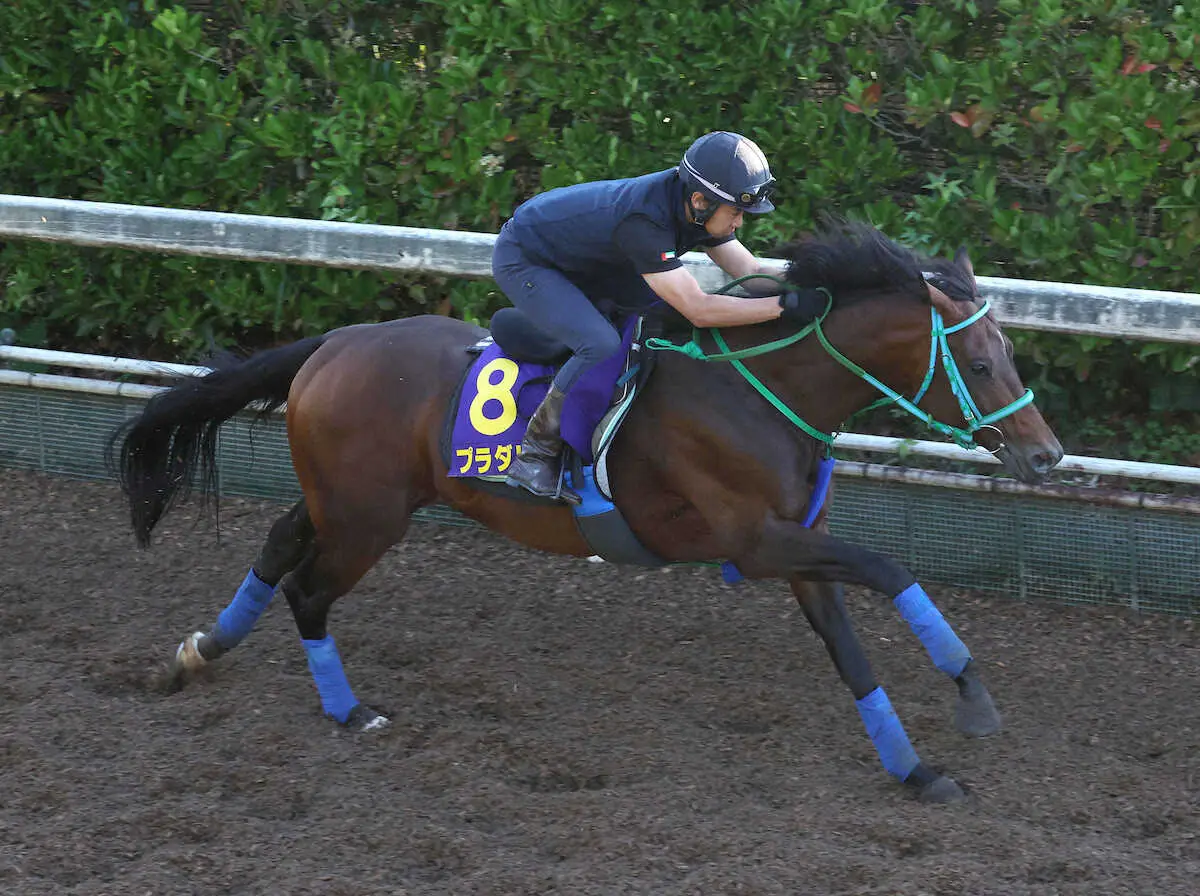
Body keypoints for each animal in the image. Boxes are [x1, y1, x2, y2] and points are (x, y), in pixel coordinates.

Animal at [110, 224, 1060, 806]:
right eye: (980, 363)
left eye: (1008, 353)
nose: (1047, 455)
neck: (759, 390)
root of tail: (333, 345)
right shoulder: (756, 543)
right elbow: (890, 569)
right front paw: (972, 694)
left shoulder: (794, 546)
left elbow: (850, 651)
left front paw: (917, 771)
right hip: (368, 520)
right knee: (308, 590)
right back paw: (350, 711)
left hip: (346, 502)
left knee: (278, 547)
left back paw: (197, 653)